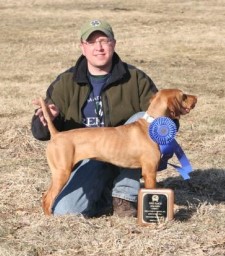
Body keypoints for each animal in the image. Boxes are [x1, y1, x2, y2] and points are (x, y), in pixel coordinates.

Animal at [38, 89, 197, 215]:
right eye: (183, 96)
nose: (196, 98)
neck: (151, 125)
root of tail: (56, 134)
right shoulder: (150, 172)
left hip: (58, 174)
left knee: (45, 195)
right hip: (62, 173)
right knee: (48, 198)